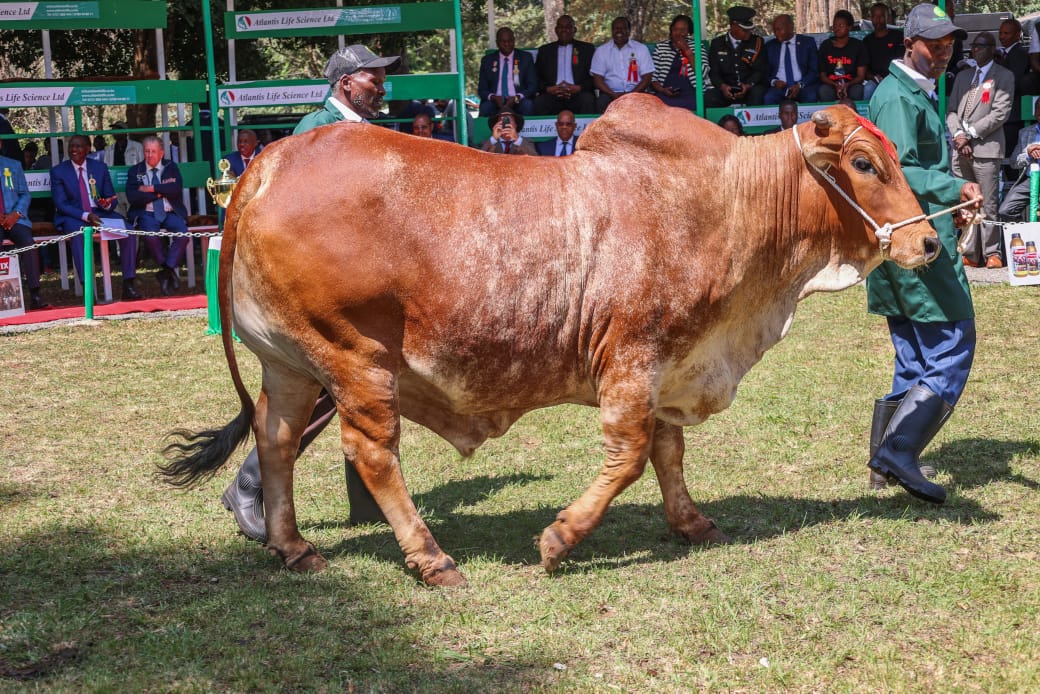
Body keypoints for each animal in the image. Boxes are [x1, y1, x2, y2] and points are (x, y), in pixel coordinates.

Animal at [162, 96, 941, 587]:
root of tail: (270, 162)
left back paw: (293, 547)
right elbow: (629, 456)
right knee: (371, 453)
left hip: (289, 362)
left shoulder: (670, 364)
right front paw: (559, 539)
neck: (726, 202)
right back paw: (432, 560)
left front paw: (691, 523)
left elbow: (668, 452)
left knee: (275, 436)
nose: (931, 243)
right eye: (864, 165)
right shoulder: (633, 359)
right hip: (356, 359)